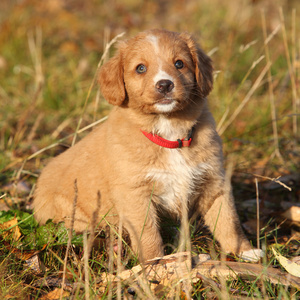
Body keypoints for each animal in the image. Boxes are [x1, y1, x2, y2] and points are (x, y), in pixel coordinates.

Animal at [33, 29, 262, 262]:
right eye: (140, 68)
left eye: (179, 64)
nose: (165, 84)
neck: (168, 135)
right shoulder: (136, 194)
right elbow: (148, 234)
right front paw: (154, 262)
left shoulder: (214, 181)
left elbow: (228, 221)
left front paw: (245, 251)